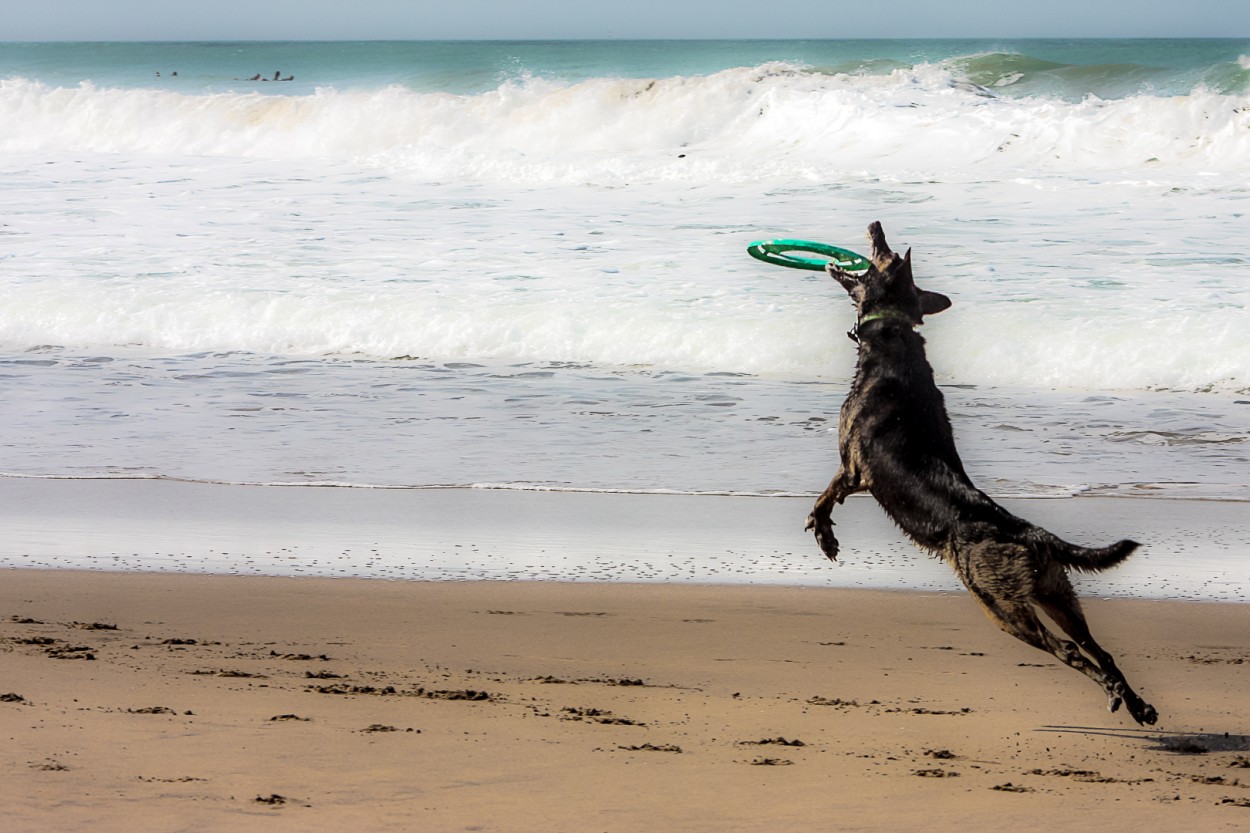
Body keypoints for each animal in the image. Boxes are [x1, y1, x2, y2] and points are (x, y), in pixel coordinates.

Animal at [805, 218, 1155, 720]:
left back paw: (1110, 690)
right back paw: (1137, 705)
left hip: (1001, 604)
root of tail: (1029, 533)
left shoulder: (853, 465)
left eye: (882, 252)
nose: (876, 223)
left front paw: (824, 534)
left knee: (1069, 651)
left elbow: (825, 495)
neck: (892, 341)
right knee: (1098, 647)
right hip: (1056, 592)